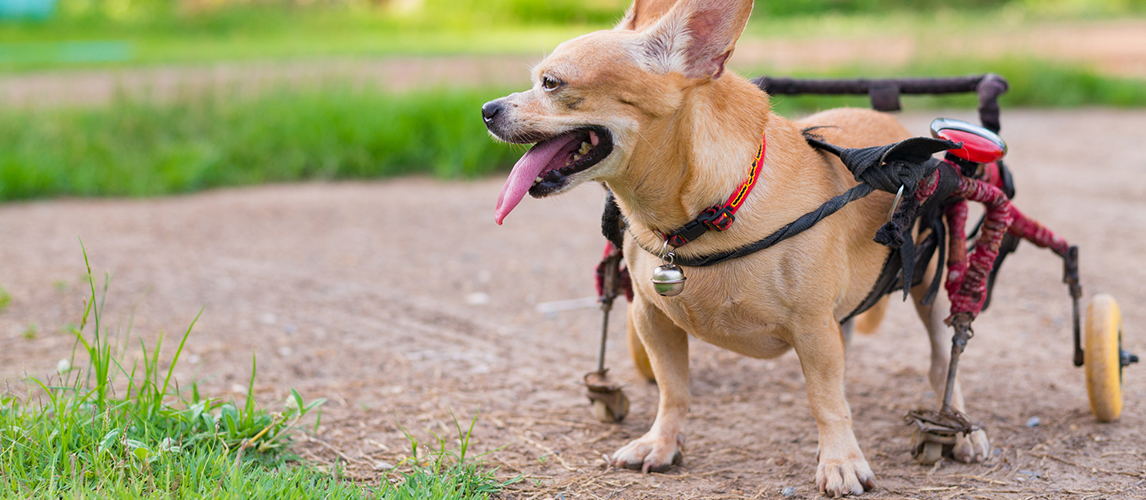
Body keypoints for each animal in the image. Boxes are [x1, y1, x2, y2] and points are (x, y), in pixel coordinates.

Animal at [479, 0, 990, 493]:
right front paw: (662, 443)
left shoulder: (813, 329)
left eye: (551, 83)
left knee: (943, 360)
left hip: (931, 290)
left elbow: (825, 399)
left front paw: (841, 462)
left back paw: (961, 429)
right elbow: (673, 390)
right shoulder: (651, 318)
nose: (486, 108)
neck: (702, 214)